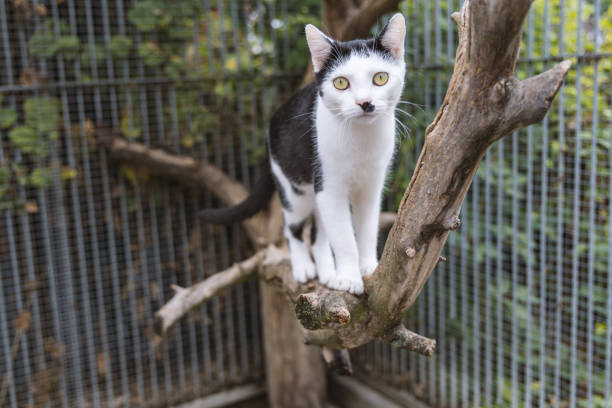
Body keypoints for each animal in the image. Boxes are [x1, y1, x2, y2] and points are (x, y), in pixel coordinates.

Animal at [201, 13, 408, 294]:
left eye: (380, 78)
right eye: (341, 83)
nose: (365, 103)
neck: (361, 140)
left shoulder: (371, 187)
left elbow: (366, 229)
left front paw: (367, 267)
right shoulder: (329, 187)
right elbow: (344, 238)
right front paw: (349, 277)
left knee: (318, 235)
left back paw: (327, 272)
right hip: (294, 188)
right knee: (293, 229)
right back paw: (303, 266)